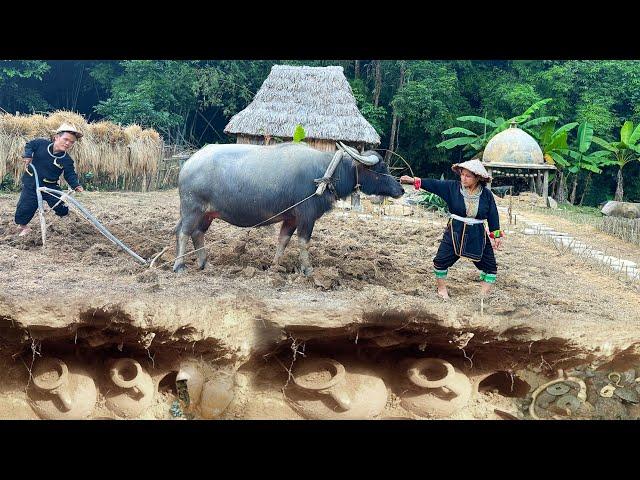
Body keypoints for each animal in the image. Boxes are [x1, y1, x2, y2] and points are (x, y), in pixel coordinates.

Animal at [172, 142, 402, 274]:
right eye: (381, 167)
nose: (400, 189)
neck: (326, 174)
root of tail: (188, 164)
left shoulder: (291, 218)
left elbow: (283, 241)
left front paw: (275, 266)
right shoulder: (306, 216)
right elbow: (303, 242)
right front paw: (307, 269)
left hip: (207, 214)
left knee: (198, 234)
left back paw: (204, 263)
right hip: (192, 209)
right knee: (184, 233)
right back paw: (179, 266)